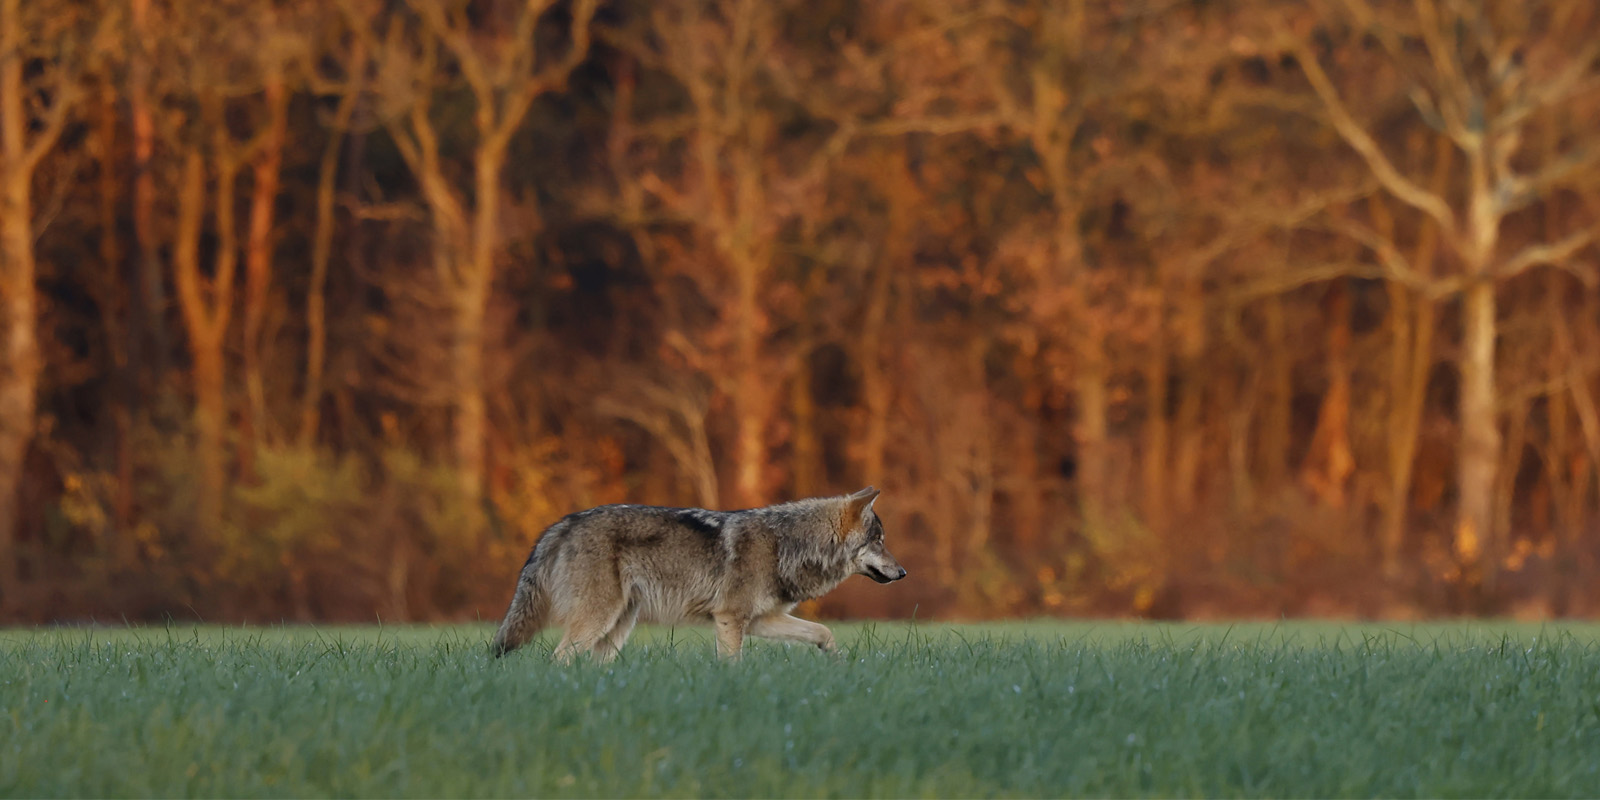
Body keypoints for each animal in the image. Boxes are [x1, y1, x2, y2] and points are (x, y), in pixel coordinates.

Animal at [490, 486, 906, 662]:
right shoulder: (730, 619)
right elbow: (732, 664)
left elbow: (823, 631)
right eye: (879, 541)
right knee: (558, 658)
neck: (786, 544)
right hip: (599, 619)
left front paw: (836, 660)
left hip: (617, 628)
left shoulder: (760, 620)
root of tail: (563, 522)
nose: (903, 572)